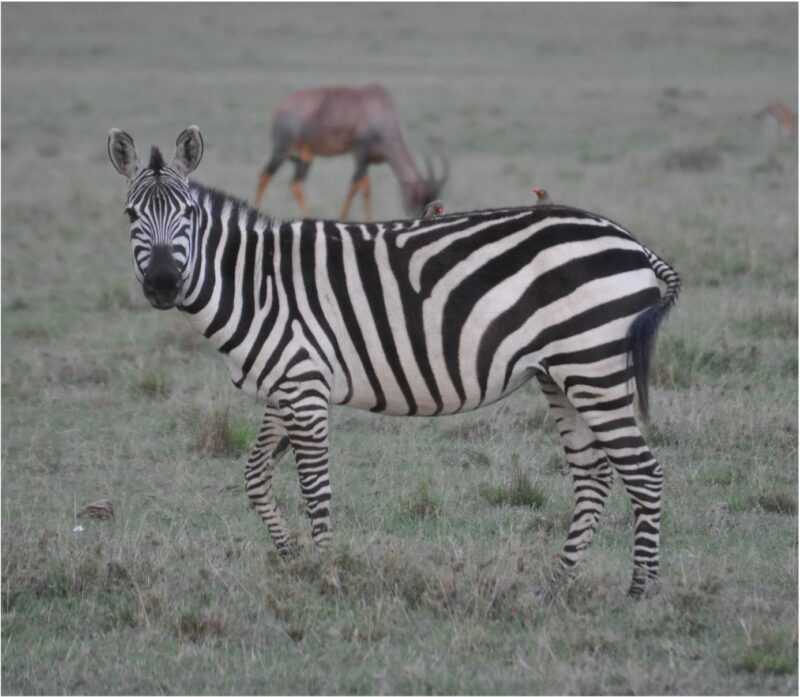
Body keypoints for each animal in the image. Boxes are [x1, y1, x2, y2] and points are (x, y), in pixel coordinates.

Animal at [108, 126, 680, 600]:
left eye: (187, 215)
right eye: (132, 216)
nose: (162, 284)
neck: (256, 282)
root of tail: (632, 241)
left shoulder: (304, 386)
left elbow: (315, 488)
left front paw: (326, 573)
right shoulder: (284, 385)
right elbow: (254, 477)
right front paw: (291, 558)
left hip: (593, 366)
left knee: (643, 472)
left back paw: (640, 590)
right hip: (562, 374)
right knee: (593, 475)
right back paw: (558, 584)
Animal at [253, 84, 446, 220]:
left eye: (433, 198)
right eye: (417, 196)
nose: (420, 216)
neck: (378, 108)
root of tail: (279, 109)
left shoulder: (367, 160)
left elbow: (366, 189)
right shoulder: (360, 153)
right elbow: (354, 186)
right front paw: (341, 218)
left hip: (306, 157)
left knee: (295, 183)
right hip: (282, 150)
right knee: (265, 174)